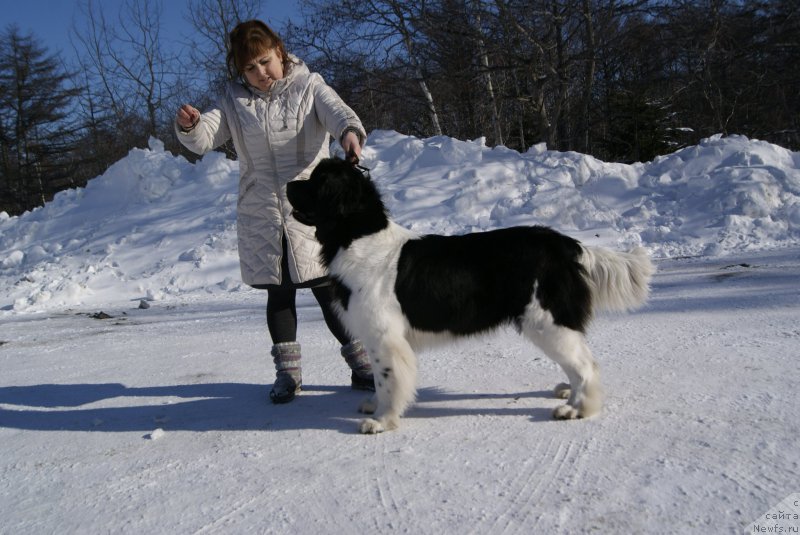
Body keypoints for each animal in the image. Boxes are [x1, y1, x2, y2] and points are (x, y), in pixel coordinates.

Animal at [290, 159, 652, 436]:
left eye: (318, 180)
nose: (289, 183)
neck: (358, 236)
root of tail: (565, 245)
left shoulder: (385, 338)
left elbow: (388, 381)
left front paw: (382, 420)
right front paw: (376, 408)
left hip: (547, 323)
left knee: (587, 366)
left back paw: (578, 408)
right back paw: (569, 393)